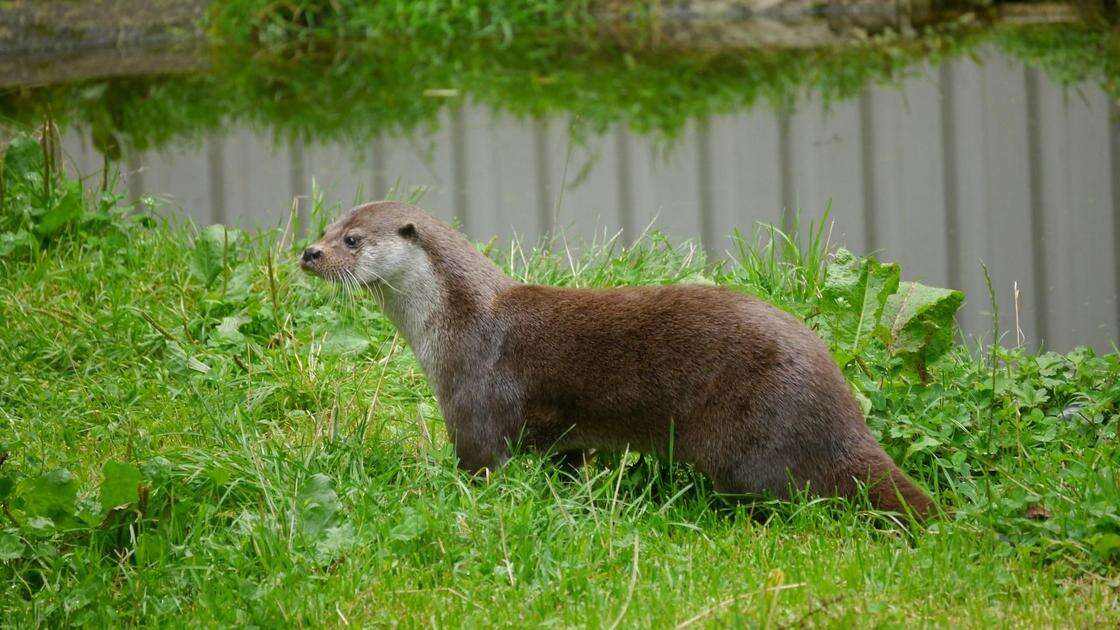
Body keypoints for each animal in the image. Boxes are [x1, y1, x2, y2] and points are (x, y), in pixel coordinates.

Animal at [300, 199, 936, 515]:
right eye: (325, 227)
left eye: (352, 240)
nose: (309, 253)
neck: (457, 323)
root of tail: (840, 411)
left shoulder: (473, 403)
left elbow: (480, 466)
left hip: (750, 444)